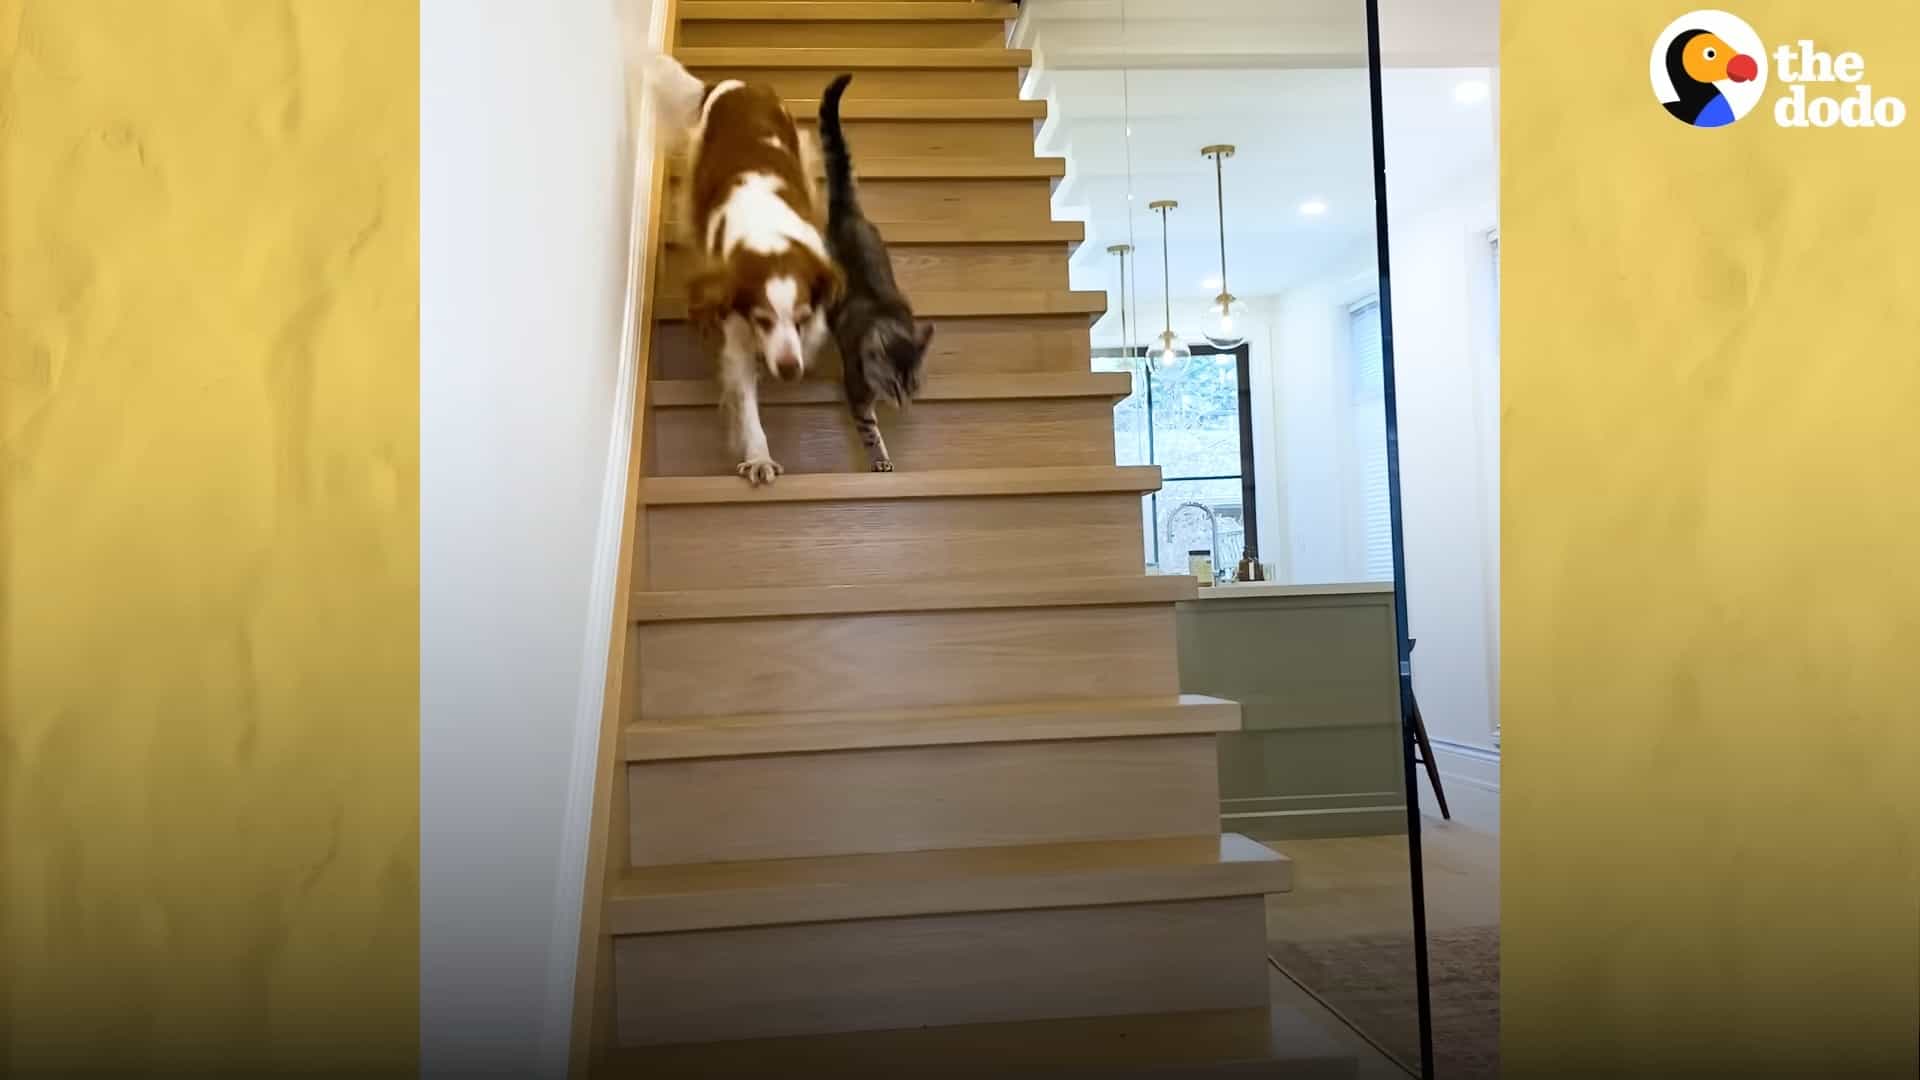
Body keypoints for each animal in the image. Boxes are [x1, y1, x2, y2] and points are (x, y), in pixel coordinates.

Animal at [637, 52, 840, 480]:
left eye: (800, 316)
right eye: (761, 319)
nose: (789, 370)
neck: (769, 233)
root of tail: (734, 83)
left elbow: (815, 330)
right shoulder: (736, 330)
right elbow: (746, 404)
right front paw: (759, 456)